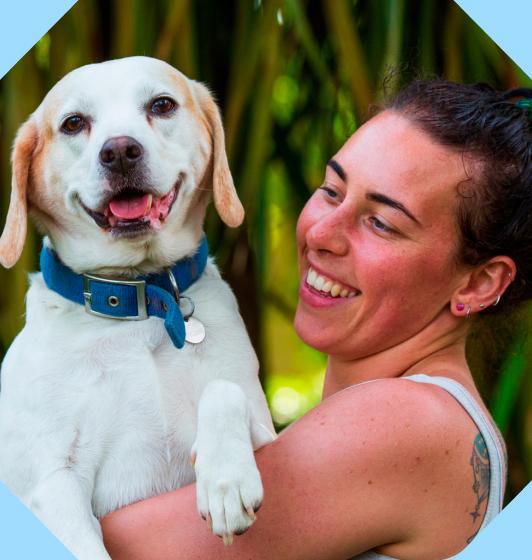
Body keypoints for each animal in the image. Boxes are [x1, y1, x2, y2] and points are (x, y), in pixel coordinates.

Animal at [0, 58, 274, 560]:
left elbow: (223, 390)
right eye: (73, 123)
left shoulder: (271, 434)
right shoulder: (51, 484)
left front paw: (226, 482)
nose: (120, 151)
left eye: (161, 105)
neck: (139, 303)